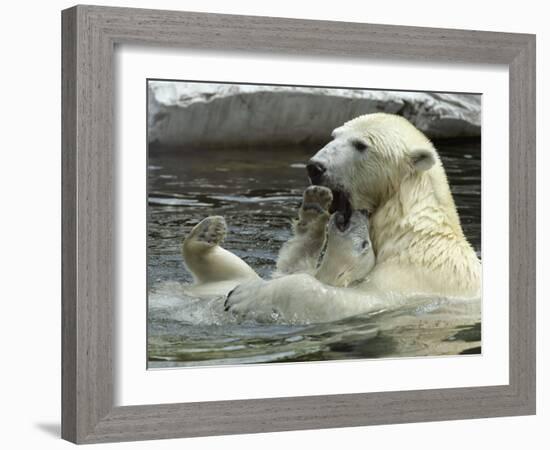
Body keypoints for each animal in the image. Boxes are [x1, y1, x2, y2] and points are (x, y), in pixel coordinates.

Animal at [189, 113, 478, 324]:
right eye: (334, 135)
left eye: (361, 145)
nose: (315, 167)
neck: (410, 227)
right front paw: (313, 209)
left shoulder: (413, 280)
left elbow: (344, 300)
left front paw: (244, 296)